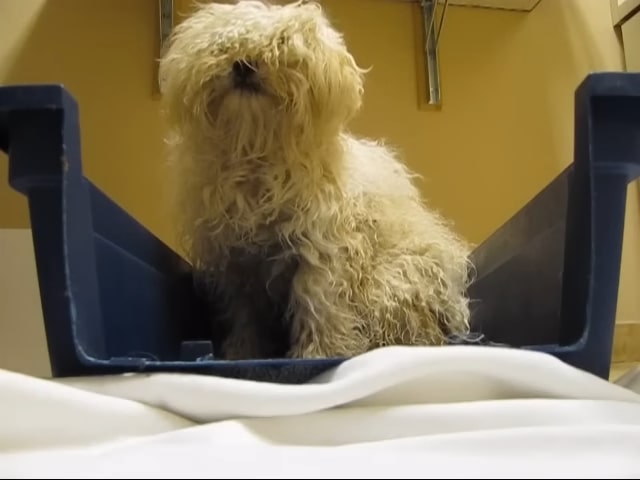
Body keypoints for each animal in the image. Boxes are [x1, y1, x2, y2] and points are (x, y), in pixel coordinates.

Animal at [158, 0, 472, 360]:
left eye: (281, 45)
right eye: (225, 45)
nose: (244, 64)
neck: (256, 156)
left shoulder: (320, 249)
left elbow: (318, 305)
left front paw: (319, 352)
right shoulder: (237, 263)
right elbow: (245, 315)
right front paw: (242, 351)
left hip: (391, 283)